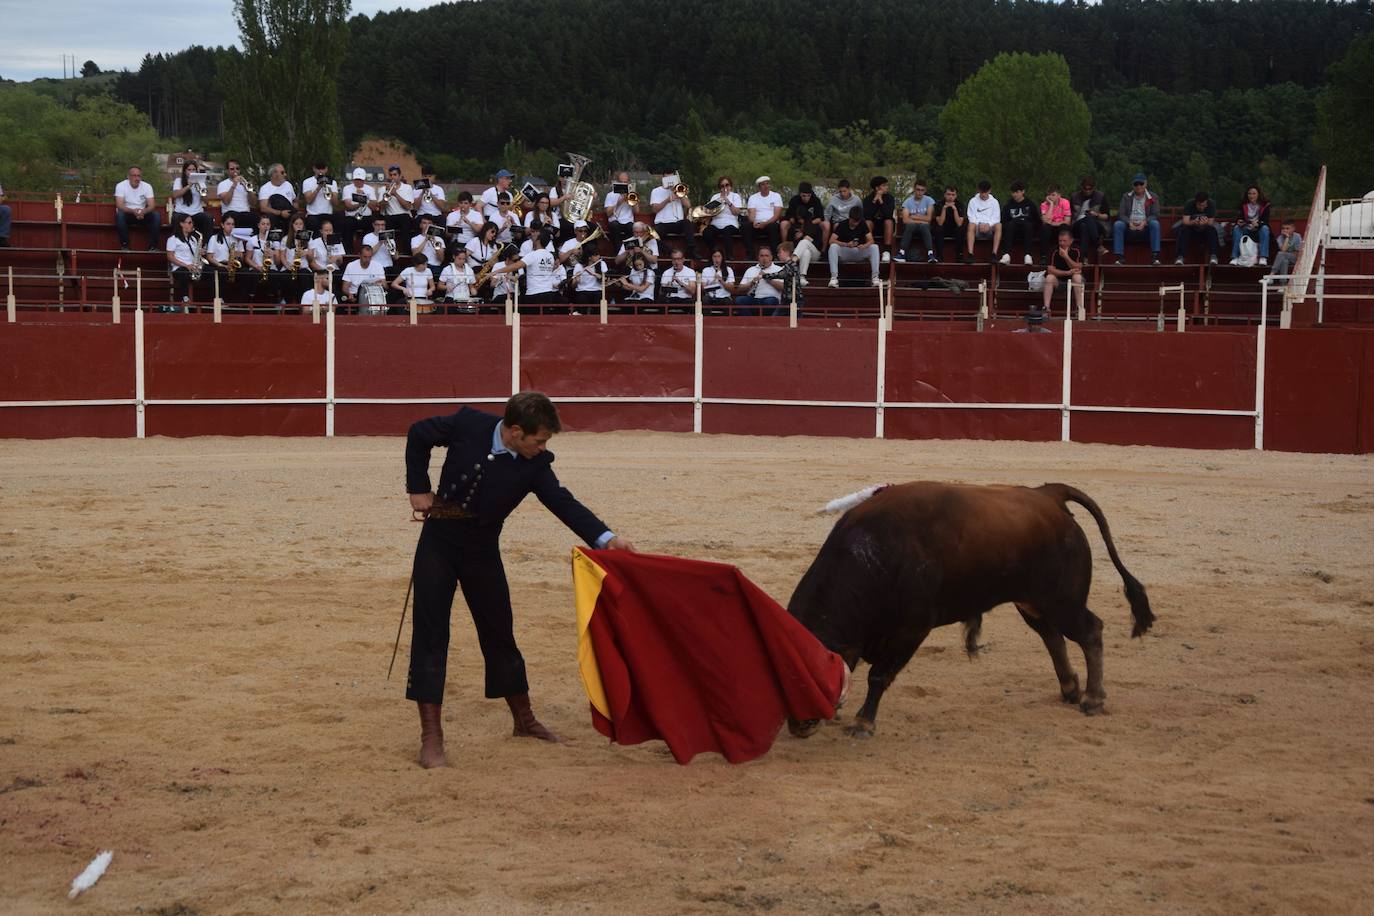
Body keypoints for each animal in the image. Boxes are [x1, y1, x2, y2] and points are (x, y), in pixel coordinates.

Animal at [791, 480, 1154, 736]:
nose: (798, 727)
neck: (873, 557)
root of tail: (1048, 495)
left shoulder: (911, 629)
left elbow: (879, 675)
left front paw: (863, 723)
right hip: (1032, 602)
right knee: (1052, 637)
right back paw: (1069, 689)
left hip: (1062, 601)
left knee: (1089, 631)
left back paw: (1092, 699)